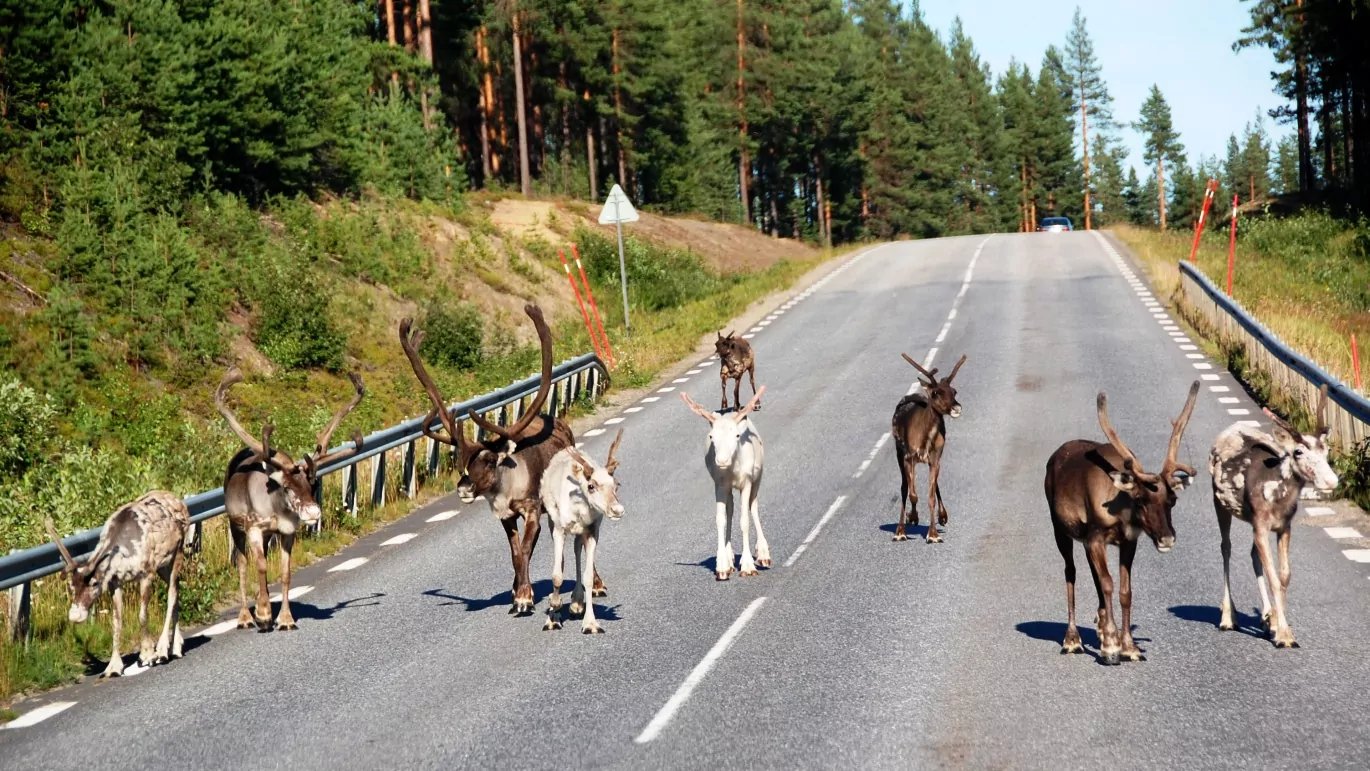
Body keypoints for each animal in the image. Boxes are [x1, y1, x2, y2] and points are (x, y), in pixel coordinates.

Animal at [45, 493, 191, 679]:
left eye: (94, 583)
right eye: (71, 586)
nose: (75, 616)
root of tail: (179, 501)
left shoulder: (147, 573)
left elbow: (142, 615)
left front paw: (147, 654)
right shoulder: (115, 583)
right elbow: (116, 621)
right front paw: (113, 667)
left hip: (177, 553)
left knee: (172, 595)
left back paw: (165, 649)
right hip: (163, 567)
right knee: (177, 591)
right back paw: (177, 645)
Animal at [537, 427, 627, 632]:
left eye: (616, 485)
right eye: (591, 486)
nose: (617, 510)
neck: (579, 511)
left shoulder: (592, 531)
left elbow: (588, 577)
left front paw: (591, 623)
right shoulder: (560, 529)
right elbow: (557, 575)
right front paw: (553, 611)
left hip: (581, 533)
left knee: (577, 549)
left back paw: (576, 603)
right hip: (553, 524)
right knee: (562, 560)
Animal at [682, 388, 772, 583]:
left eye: (736, 435)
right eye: (711, 436)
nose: (722, 460)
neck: (733, 470)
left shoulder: (746, 481)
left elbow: (744, 520)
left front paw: (748, 566)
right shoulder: (720, 484)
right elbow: (720, 519)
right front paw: (722, 566)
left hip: (758, 478)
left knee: (753, 507)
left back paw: (763, 554)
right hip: (729, 488)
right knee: (730, 510)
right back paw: (730, 558)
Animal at [1211, 383, 1337, 646]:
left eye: (1326, 450)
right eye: (1298, 452)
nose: (1331, 481)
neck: (1278, 497)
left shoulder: (1284, 525)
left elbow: (1284, 575)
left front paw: (1277, 625)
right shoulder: (1260, 523)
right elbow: (1274, 578)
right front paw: (1285, 635)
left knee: (1252, 554)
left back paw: (1267, 616)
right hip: (1220, 502)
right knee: (1225, 547)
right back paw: (1228, 617)